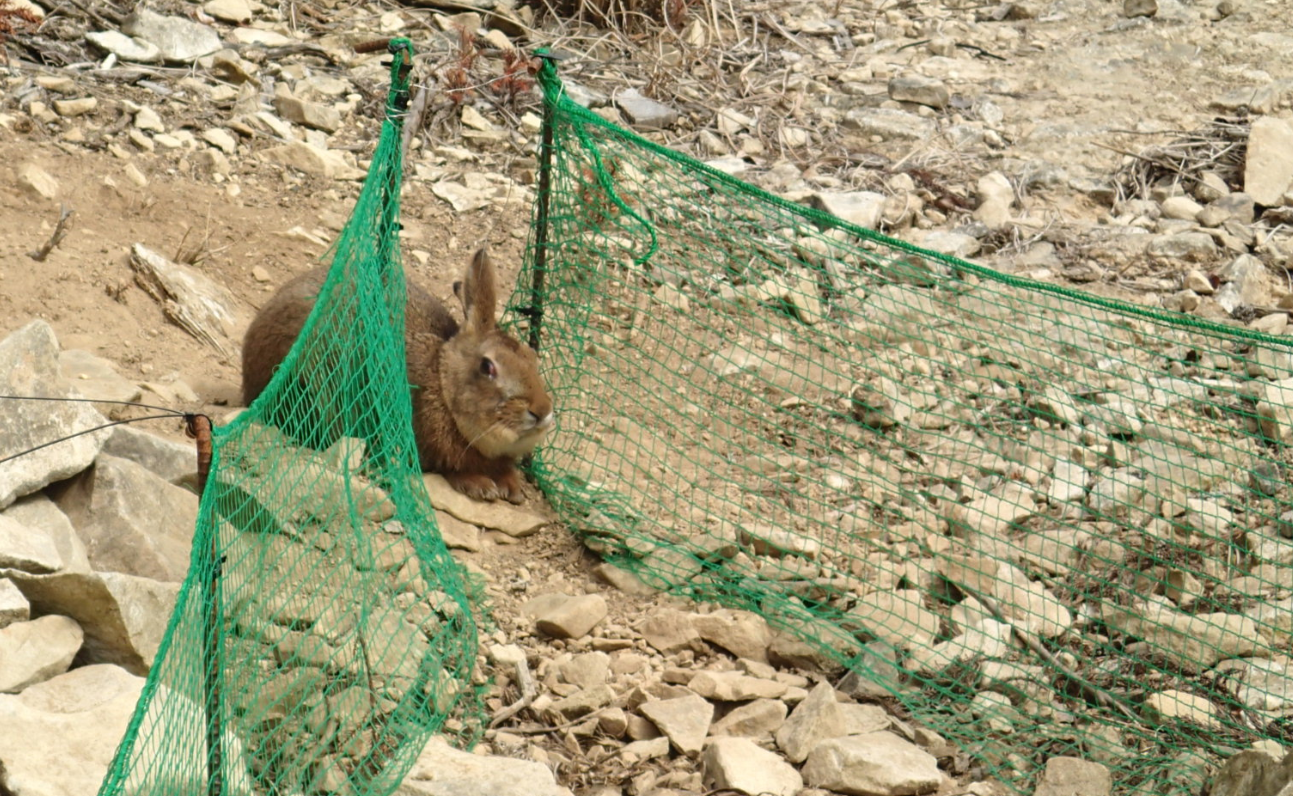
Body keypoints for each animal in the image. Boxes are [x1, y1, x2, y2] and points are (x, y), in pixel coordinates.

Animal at [243, 248, 555, 501]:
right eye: (487, 367)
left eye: (533, 358)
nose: (542, 411)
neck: (442, 384)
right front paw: (482, 487)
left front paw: (512, 488)